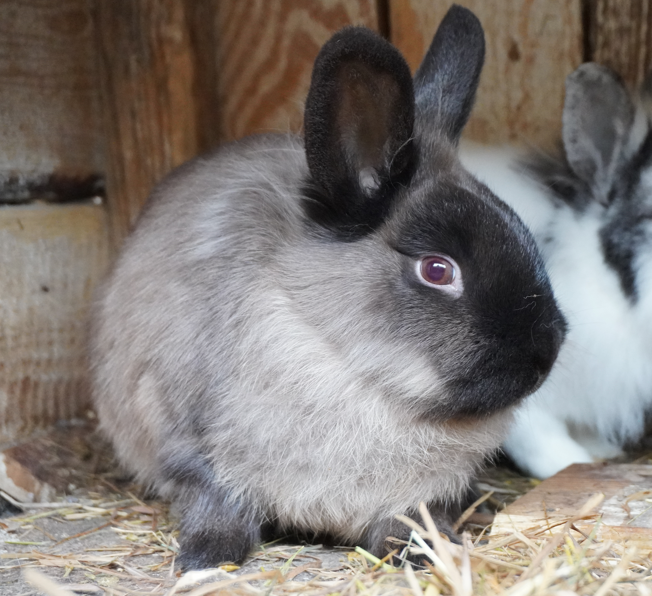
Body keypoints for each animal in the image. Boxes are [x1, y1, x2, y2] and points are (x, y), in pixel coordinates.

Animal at [89, 5, 566, 569]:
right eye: (437, 269)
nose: (545, 351)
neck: (348, 365)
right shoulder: (191, 449)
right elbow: (217, 505)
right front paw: (206, 560)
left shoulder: (419, 494)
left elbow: (408, 519)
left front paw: (422, 553)